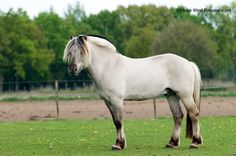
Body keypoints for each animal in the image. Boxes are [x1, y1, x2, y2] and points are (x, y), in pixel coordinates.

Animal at [63, 33, 203, 150]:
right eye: (70, 52)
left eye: (82, 52)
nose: (72, 70)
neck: (108, 66)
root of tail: (188, 63)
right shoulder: (108, 102)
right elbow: (115, 122)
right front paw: (121, 143)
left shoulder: (117, 100)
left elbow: (119, 121)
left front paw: (118, 145)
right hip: (171, 95)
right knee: (177, 116)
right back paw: (172, 143)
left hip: (185, 95)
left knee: (194, 113)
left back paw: (195, 143)